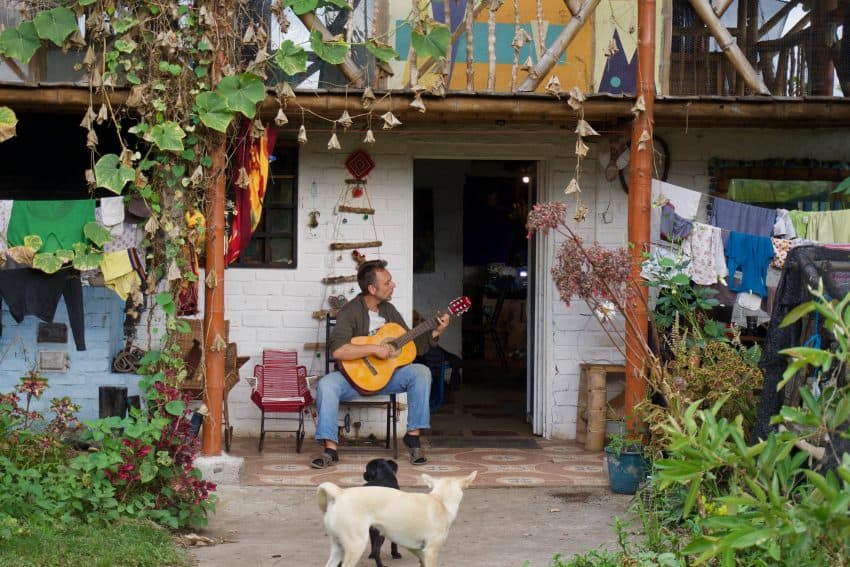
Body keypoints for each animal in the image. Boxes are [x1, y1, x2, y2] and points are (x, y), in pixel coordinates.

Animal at [318, 470, 476, 567]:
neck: (439, 500)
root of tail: (340, 493)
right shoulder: (431, 552)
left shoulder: (420, 553)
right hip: (355, 546)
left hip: (339, 548)